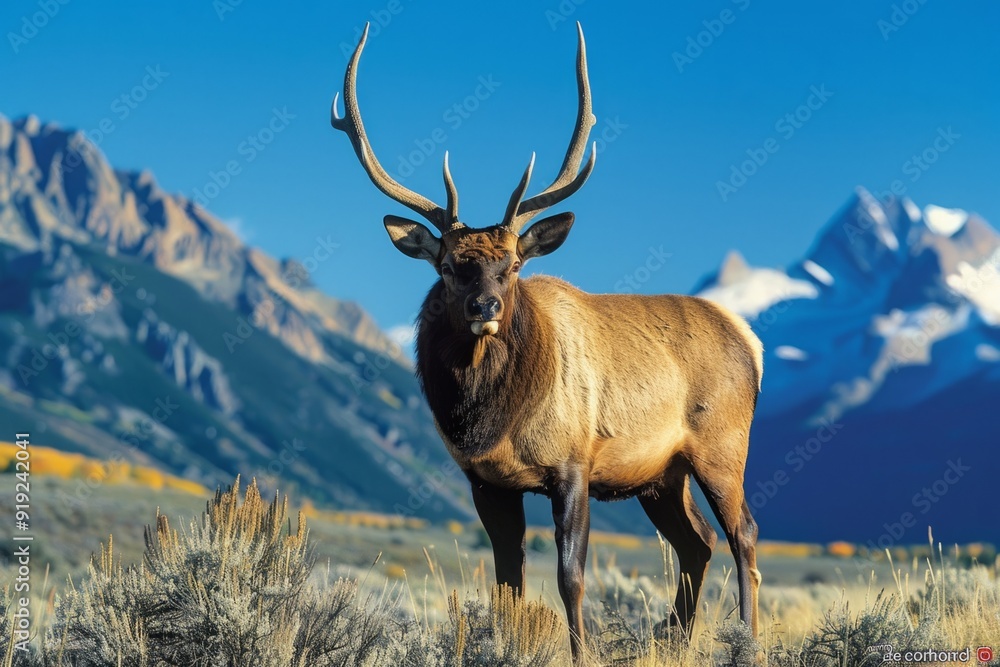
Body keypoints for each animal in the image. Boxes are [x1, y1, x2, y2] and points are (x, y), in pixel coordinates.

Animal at [331, 22, 763, 662]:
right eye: (450, 266)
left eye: (512, 265)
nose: (484, 308)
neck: (492, 422)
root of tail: (751, 340)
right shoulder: (485, 481)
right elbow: (507, 581)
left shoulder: (574, 463)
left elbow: (570, 576)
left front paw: (582, 651)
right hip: (662, 474)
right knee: (698, 542)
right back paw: (675, 641)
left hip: (722, 446)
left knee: (743, 535)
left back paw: (748, 640)